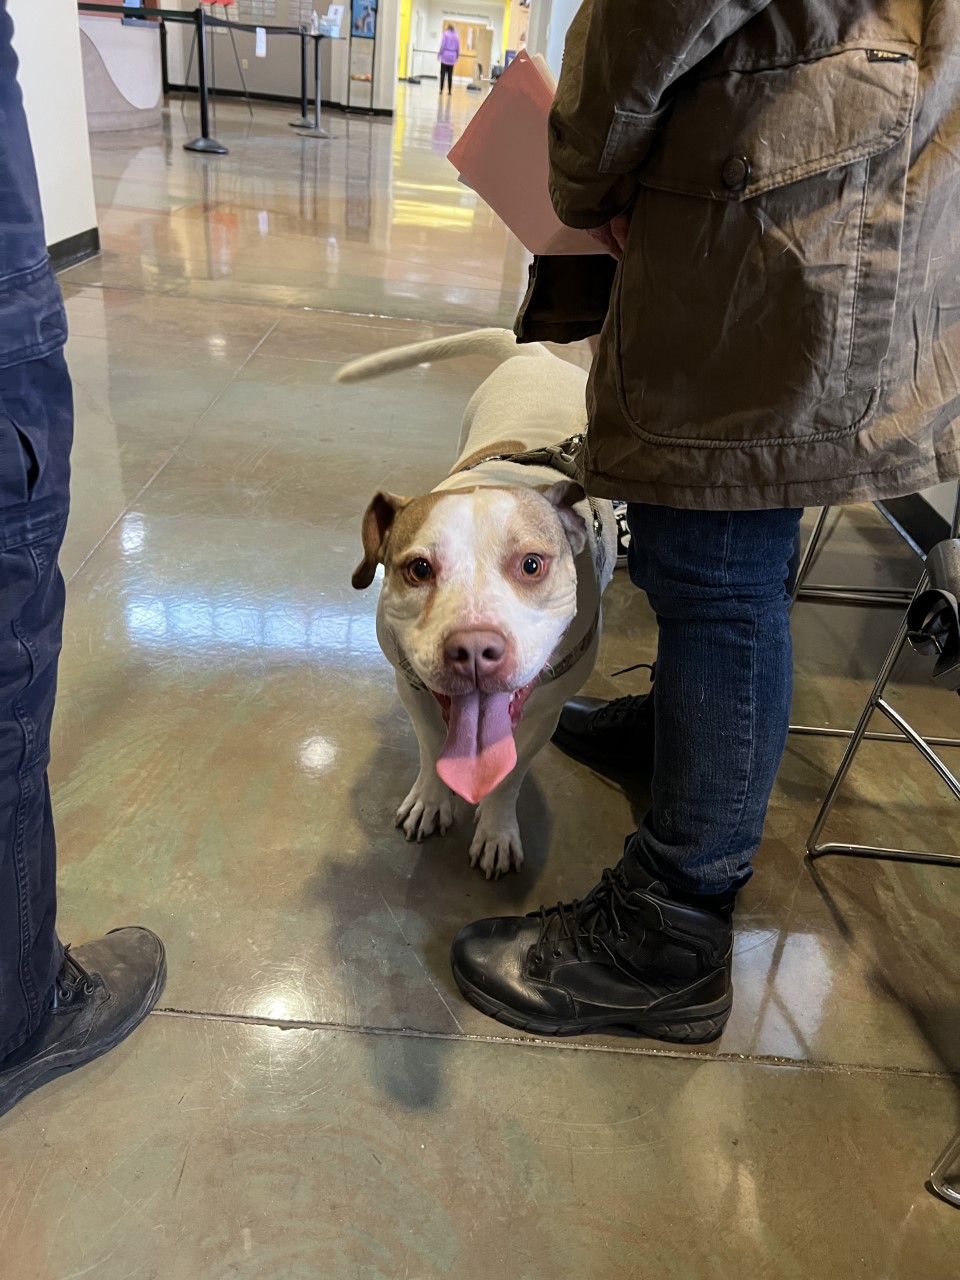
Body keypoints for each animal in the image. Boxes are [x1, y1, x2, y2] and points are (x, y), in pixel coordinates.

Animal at [340, 325, 616, 875]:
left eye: (531, 564)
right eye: (418, 569)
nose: (472, 650)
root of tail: (536, 353)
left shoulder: (544, 713)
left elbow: (508, 778)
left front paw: (496, 832)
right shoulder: (413, 686)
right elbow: (431, 750)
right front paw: (430, 801)